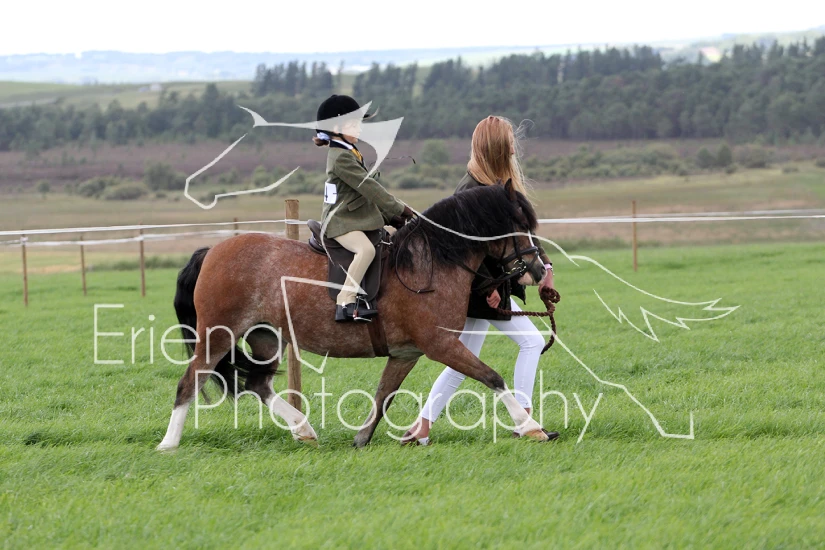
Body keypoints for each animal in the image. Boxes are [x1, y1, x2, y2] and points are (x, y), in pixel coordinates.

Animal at [157, 181, 551, 450]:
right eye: (518, 224)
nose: (537, 269)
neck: (429, 263)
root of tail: (213, 251)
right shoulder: (439, 343)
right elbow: (492, 377)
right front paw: (531, 426)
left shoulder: (406, 353)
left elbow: (384, 395)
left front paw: (362, 438)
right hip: (218, 334)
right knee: (190, 381)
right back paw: (169, 444)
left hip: (267, 336)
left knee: (258, 384)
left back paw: (302, 429)